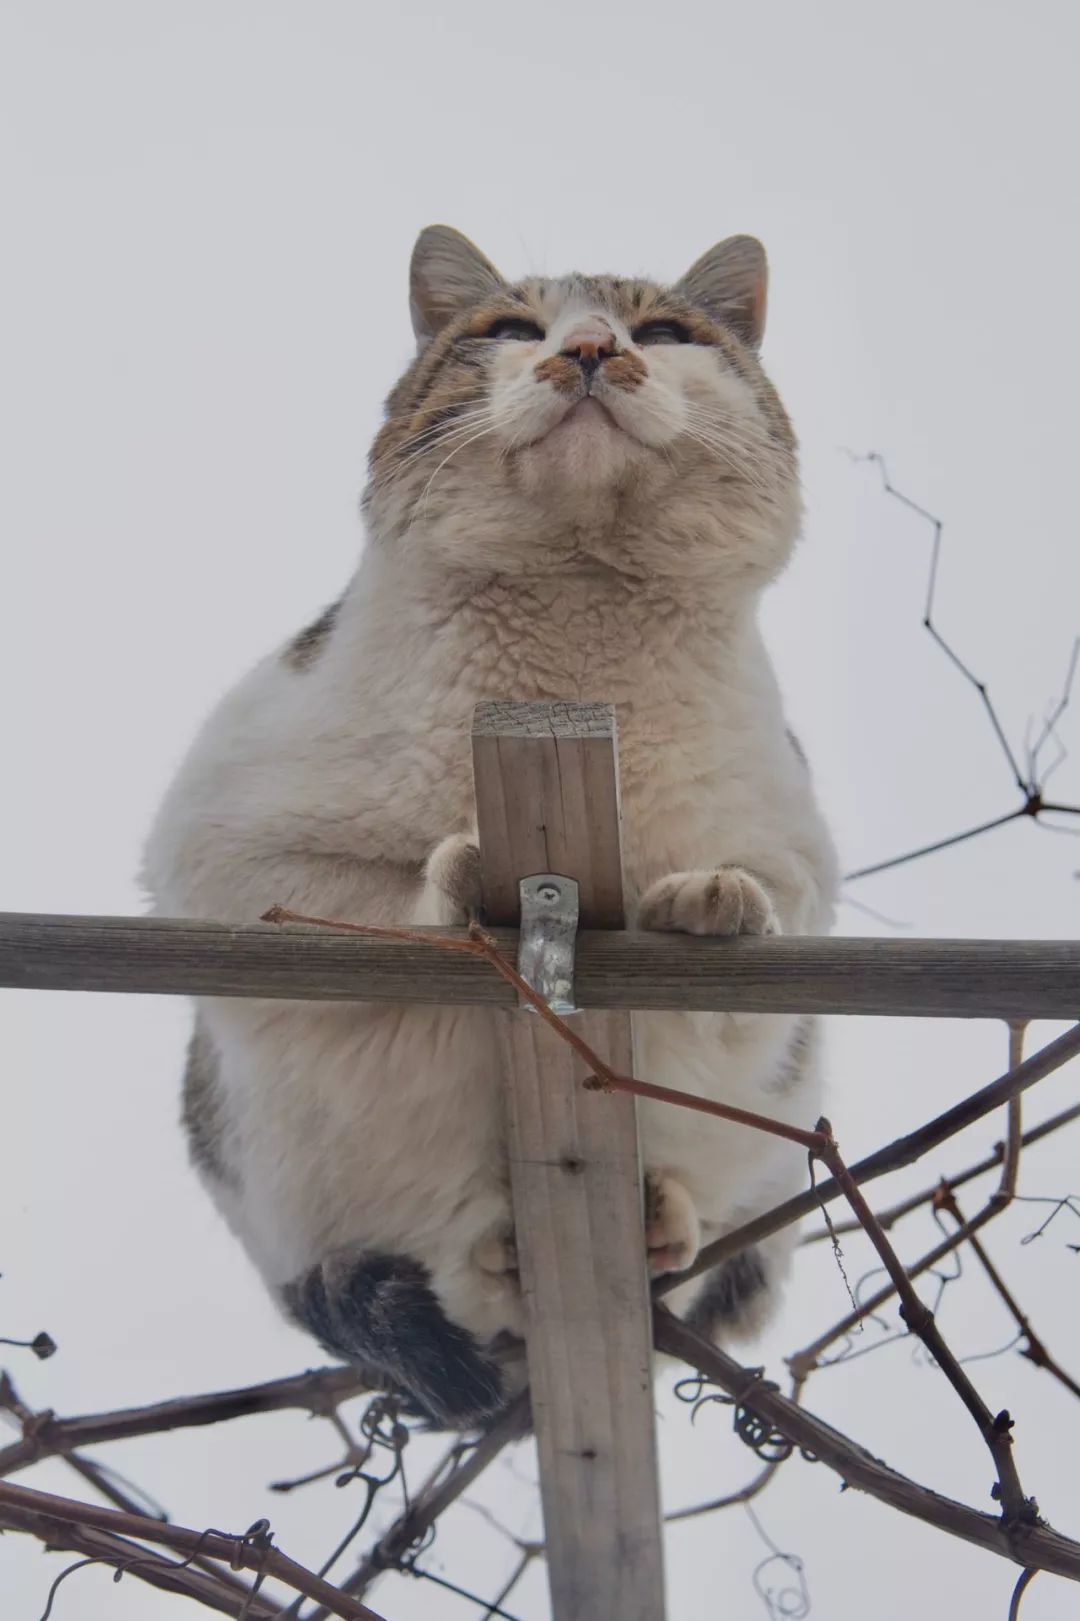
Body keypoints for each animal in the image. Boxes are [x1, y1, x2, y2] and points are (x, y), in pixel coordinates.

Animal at [141, 225, 830, 1419]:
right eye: (512, 329)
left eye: (663, 332)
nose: (592, 348)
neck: (575, 645)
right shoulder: (221, 844)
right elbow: (352, 893)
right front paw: (464, 874)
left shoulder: (797, 865)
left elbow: (745, 973)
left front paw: (702, 901)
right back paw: (489, 1259)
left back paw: (662, 1218)